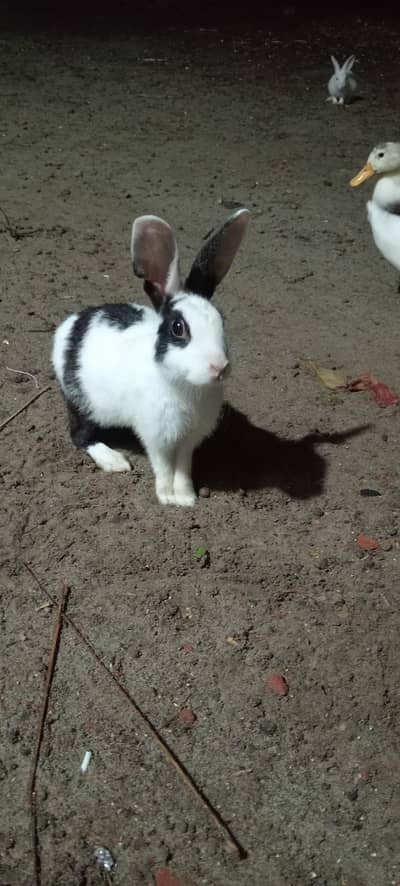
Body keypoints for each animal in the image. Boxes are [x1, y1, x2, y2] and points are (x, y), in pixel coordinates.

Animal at [51, 208, 250, 506]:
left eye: (221, 321)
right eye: (178, 328)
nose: (219, 368)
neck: (183, 385)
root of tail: (70, 325)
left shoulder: (190, 439)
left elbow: (183, 466)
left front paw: (186, 497)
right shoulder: (157, 436)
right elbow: (164, 465)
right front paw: (167, 497)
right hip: (82, 404)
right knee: (79, 436)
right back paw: (114, 460)